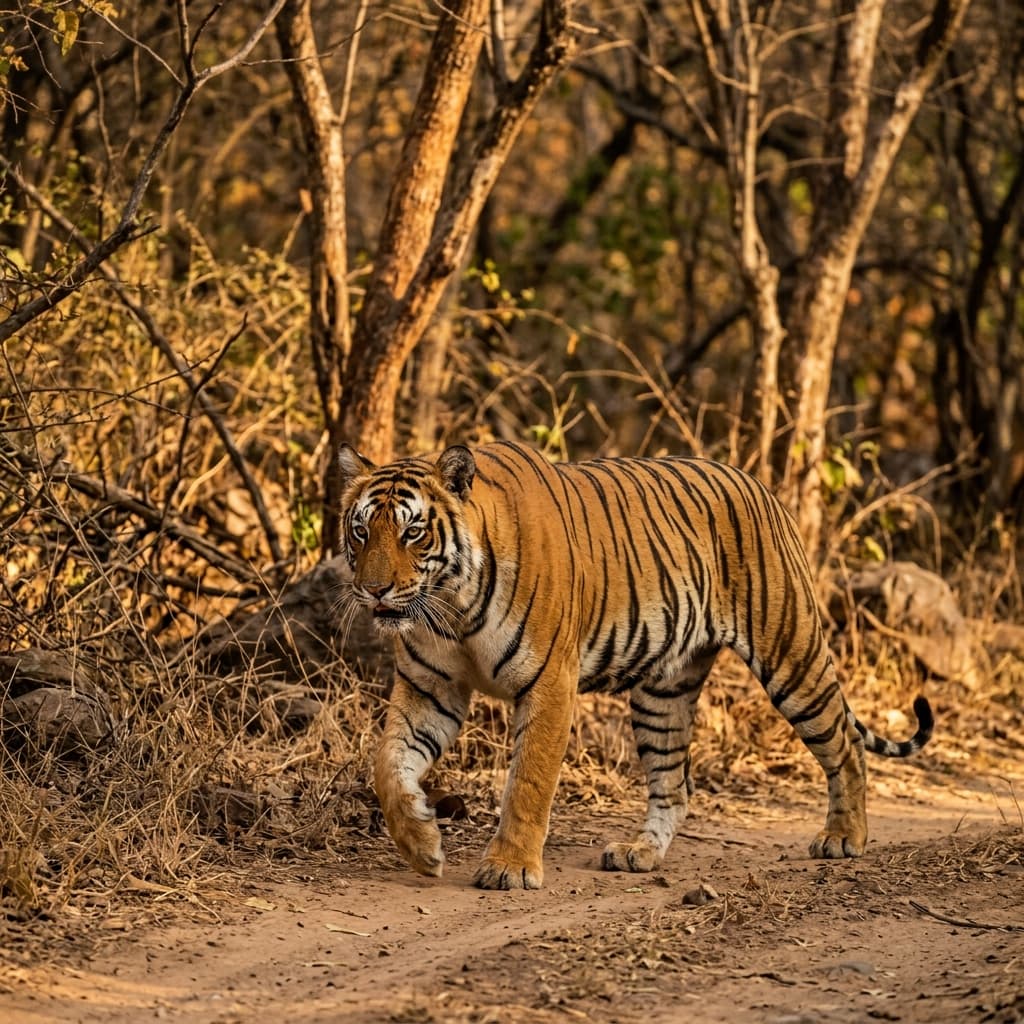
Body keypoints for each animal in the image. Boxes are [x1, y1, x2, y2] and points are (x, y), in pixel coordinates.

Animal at [336, 440, 933, 890]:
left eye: (413, 532)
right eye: (361, 530)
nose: (374, 590)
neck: (451, 605)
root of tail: (760, 486)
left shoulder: (549, 684)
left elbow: (528, 781)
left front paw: (509, 867)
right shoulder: (429, 687)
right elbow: (388, 764)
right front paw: (422, 844)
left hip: (791, 654)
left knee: (846, 743)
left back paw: (844, 838)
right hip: (663, 691)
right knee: (675, 784)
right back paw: (639, 853)